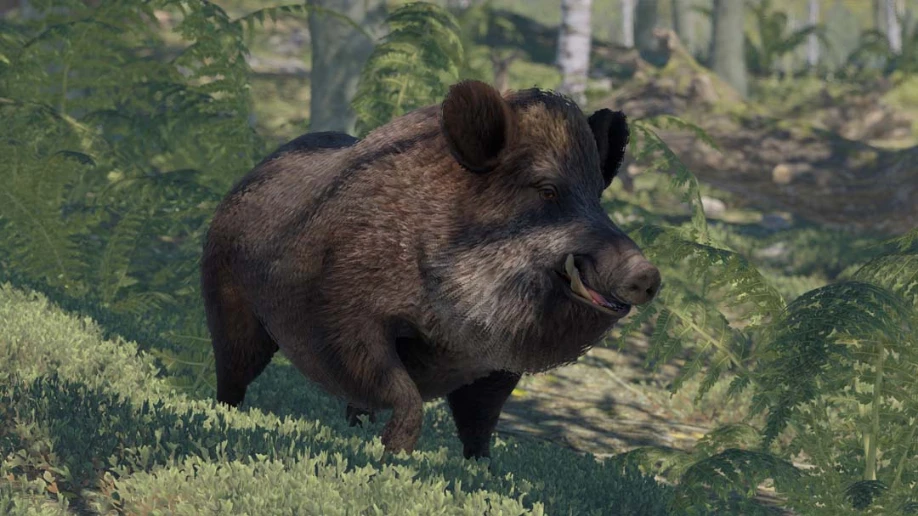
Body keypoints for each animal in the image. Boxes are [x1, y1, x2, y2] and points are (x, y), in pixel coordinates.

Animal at [200, 80, 661, 459]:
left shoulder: (498, 366)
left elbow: (480, 420)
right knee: (233, 369)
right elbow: (404, 392)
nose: (648, 275)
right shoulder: (343, 318)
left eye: (597, 197)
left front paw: (480, 468)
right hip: (227, 300)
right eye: (547, 190)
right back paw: (227, 413)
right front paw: (395, 454)